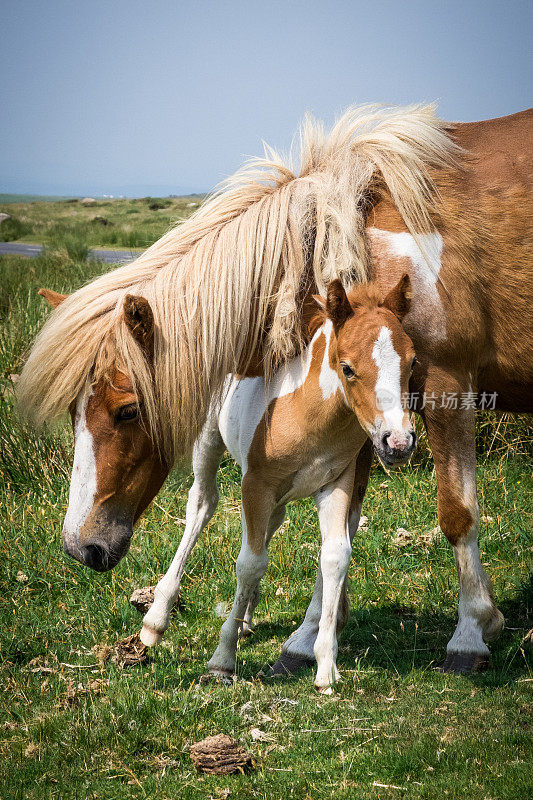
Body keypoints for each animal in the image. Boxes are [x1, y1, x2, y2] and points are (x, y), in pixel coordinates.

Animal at [18, 103, 528, 672]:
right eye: (72, 412)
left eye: (126, 410)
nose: (80, 547)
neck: (366, 228)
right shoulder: (359, 429)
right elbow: (338, 528)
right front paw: (307, 637)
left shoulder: (443, 386)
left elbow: (453, 514)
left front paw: (471, 632)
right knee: (204, 505)